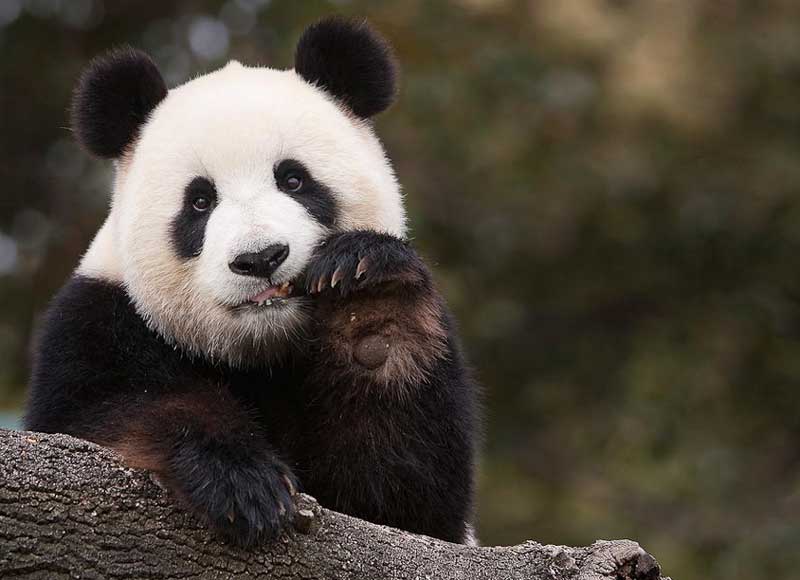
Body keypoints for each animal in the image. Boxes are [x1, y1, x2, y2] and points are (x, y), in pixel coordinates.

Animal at [25, 17, 479, 547]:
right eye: (200, 201)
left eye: (293, 179)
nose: (260, 258)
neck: (260, 348)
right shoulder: (96, 323)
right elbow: (109, 414)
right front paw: (240, 482)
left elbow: (404, 495)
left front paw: (367, 301)